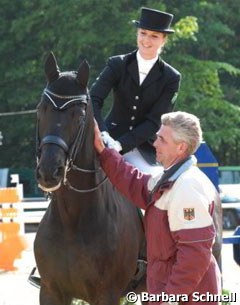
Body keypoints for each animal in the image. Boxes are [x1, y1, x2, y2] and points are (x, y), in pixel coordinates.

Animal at [34, 52, 146, 304]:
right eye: (40, 109)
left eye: (79, 115)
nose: (49, 171)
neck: (71, 219)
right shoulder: (50, 291)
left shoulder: (107, 294)